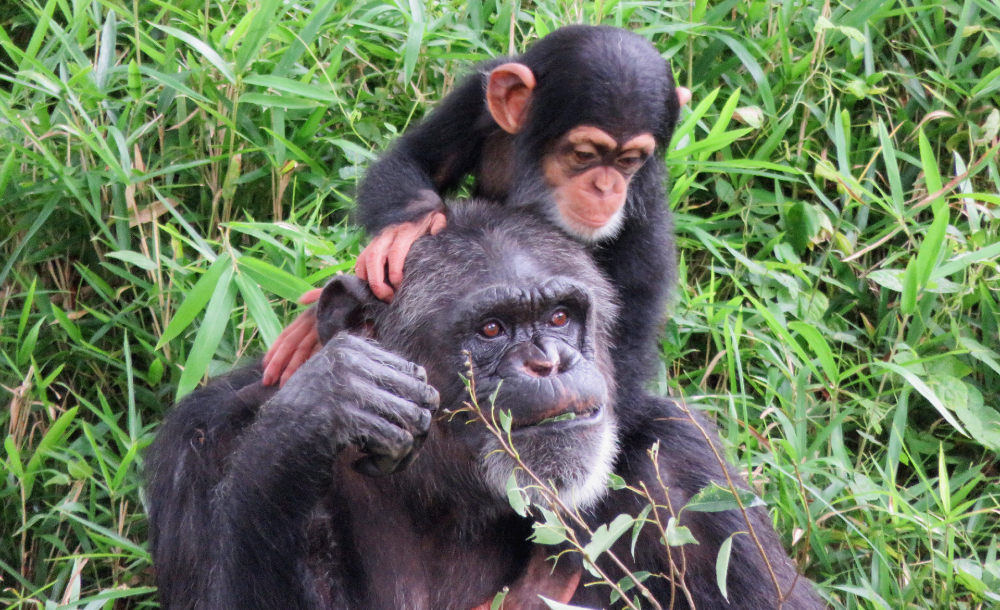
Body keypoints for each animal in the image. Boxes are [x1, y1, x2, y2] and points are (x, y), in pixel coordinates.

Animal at [148, 203, 820, 608]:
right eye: (493, 329)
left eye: (559, 316)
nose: (549, 362)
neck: (446, 498)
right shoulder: (200, 445)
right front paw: (322, 403)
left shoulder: (689, 476)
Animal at [264, 23, 688, 418]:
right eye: (584, 154)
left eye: (629, 160)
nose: (606, 188)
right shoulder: (475, 100)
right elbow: (418, 156)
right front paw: (406, 231)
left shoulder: (644, 207)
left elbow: (625, 336)